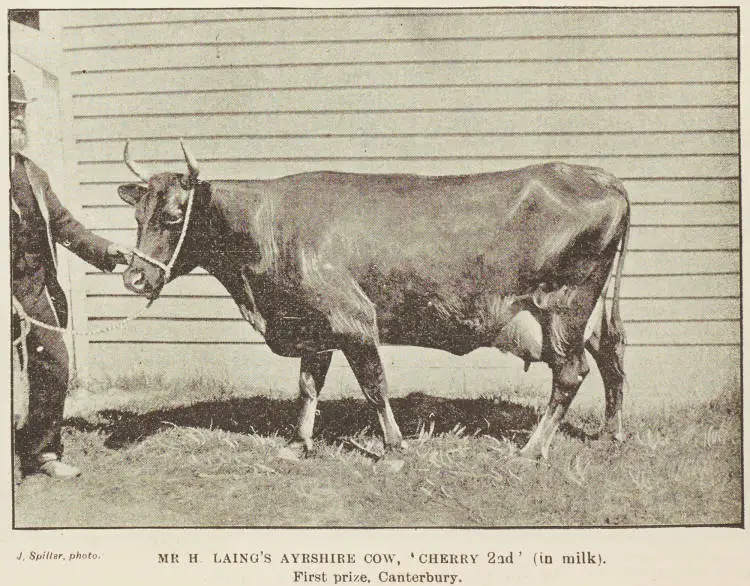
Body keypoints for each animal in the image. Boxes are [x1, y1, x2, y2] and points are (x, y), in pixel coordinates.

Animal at [119, 139, 636, 458]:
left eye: (173, 216)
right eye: (138, 216)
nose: (134, 278)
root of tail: (601, 177)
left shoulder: (353, 319)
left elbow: (374, 385)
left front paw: (393, 450)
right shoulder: (314, 326)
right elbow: (308, 386)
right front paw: (298, 445)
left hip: (563, 306)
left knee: (571, 373)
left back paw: (531, 450)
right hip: (587, 314)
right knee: (611, 358)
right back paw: (609, 434)